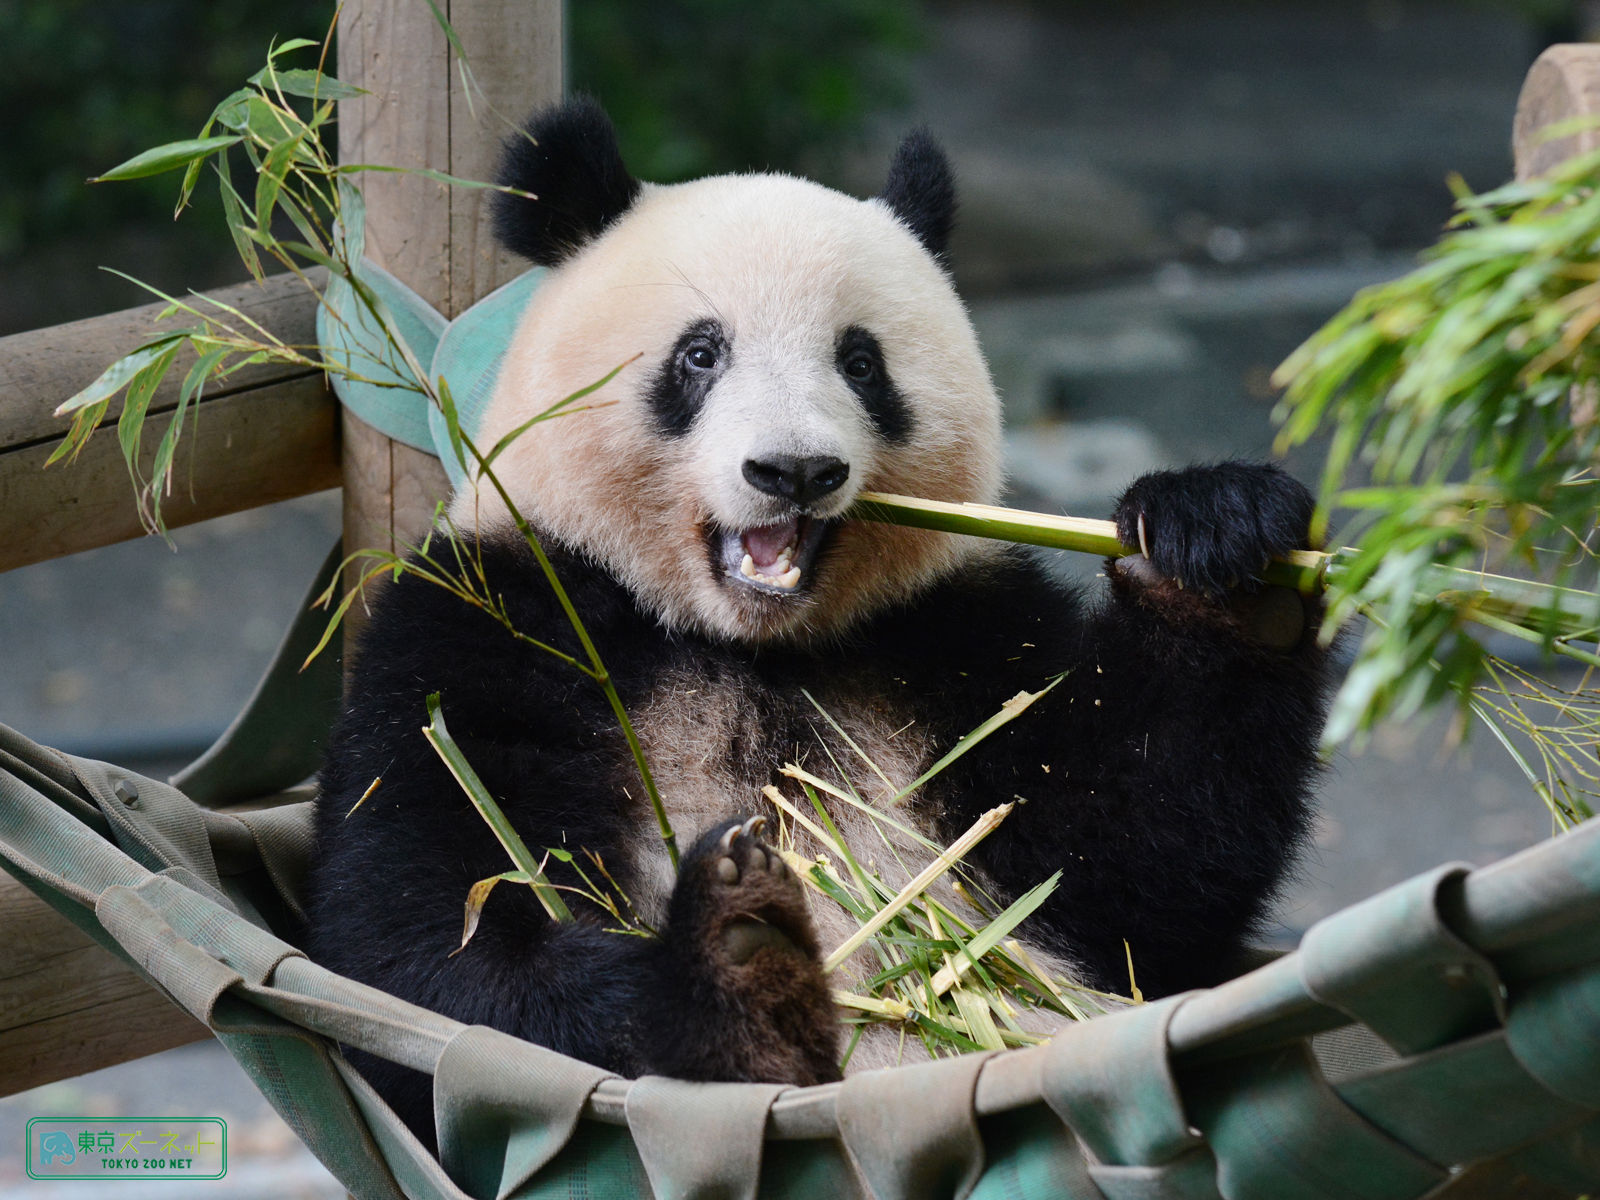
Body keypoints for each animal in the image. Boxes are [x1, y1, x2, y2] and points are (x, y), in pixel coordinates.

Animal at [305, 96, 1331, 1145]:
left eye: (861, 361)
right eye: (701, 353)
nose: (793, 470)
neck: (746, 643)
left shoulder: (956, 637)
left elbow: (1127, 879)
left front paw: (1218, 553)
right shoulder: (492, 624)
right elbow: (424, 940)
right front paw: (735, 978)